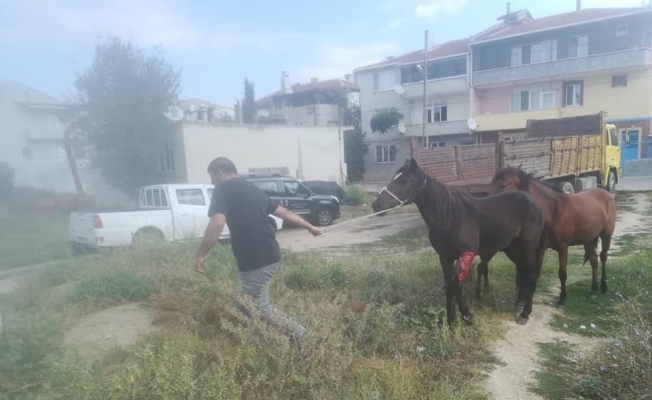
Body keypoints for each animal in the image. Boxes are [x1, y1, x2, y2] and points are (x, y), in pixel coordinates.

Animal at [372, 159, 544, 324]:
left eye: (404, 181)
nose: (376, 205)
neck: (449, 218)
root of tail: (533, 202)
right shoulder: (445, 257)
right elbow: (450, 287)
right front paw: (451, 320)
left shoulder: (466, 254)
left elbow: (457, 285)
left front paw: (467, 316)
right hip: (513, 247)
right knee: (522, 269)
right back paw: (519, 302)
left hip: (529, 246)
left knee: (531, 274)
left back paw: (525, 314)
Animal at [488, 166, 616, 310]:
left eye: (503, 185)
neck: (553, 211)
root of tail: (605, 192)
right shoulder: (541, 247)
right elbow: (535, 271)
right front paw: (524, 300)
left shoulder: (563, 247)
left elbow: (562, 274)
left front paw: (562, 300)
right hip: (588, 240)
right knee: (594, 260)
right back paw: (593, 290)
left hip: (606, 235)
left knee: (603, 257)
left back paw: (604, 286)